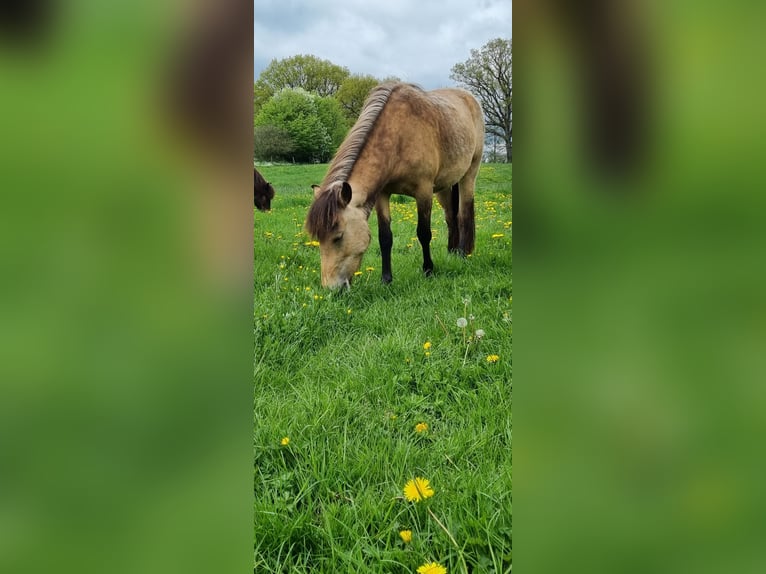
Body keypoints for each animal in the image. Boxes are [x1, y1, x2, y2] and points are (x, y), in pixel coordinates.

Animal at [306, 82, 486, 288]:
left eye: (338, 237)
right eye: (318, 239)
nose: (331, 288)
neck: (398, 135)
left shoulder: (424, 192)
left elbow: (424, 233)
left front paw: (428, 270)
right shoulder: (383, 194)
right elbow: (385, 237)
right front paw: (386, 279)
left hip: (468, 175)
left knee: (464, 214)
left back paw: (463, 254)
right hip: (445, 186)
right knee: (451, 217)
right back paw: (452, 252)